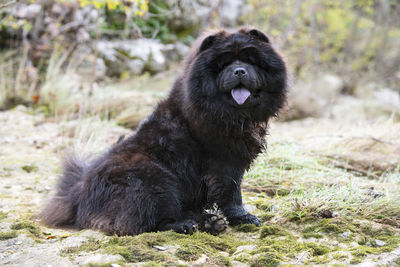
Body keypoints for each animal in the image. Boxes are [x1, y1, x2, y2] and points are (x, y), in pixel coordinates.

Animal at [41, 27, 288, 237]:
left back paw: (210, 222)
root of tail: (79, 193)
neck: (234, 115)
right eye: (224, 63)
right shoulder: (225, 163)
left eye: (250, 61)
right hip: (156, 181)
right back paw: (187, 225)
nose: (239, 70)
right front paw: (244, 217)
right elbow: (232, 193)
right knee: (150, 222)